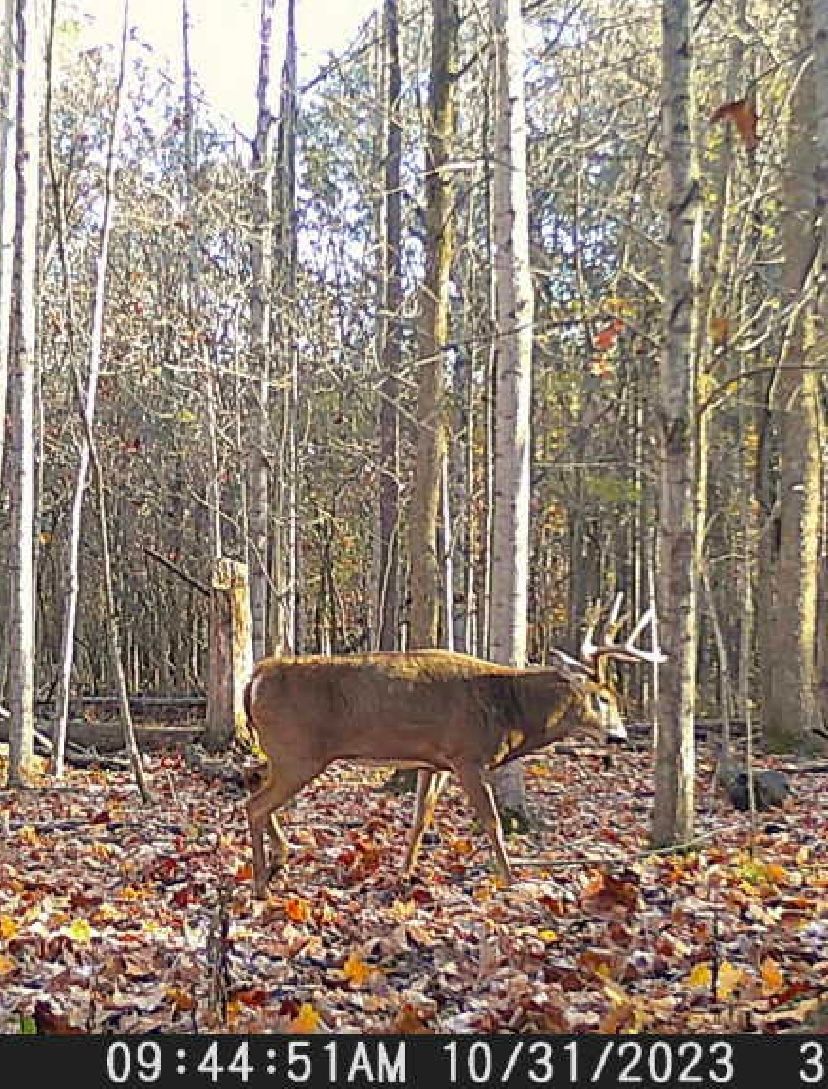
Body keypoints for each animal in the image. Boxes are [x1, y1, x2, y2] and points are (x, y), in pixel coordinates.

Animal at [243, 594, 663, 897]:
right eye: (603, 697)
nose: (619, 736)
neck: (507, 708)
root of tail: (256, 677)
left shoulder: (435, 762)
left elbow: (420, 819)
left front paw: (405, 874)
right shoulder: (467, 755)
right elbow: (492, 821)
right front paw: (510, 880)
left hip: (282, 753)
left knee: (254, 786)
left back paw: (281, 859)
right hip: (299, 752)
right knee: (255, 805)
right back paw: (262, 883)